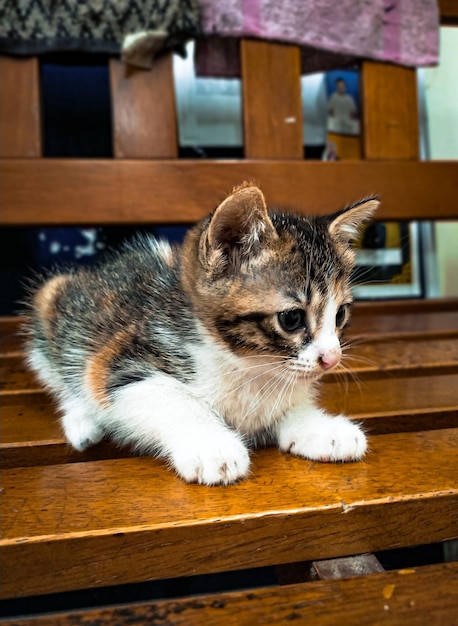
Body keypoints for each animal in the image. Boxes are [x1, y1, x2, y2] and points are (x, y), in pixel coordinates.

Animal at [23, 180, 378, 482]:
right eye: (291, 318)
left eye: (340, 314)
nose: (332, 359)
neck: (248, 367)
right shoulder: (119, 364)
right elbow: (173, 398)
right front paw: (212, 445)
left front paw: (318, 426)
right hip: (50, 304)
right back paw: (81, 420)